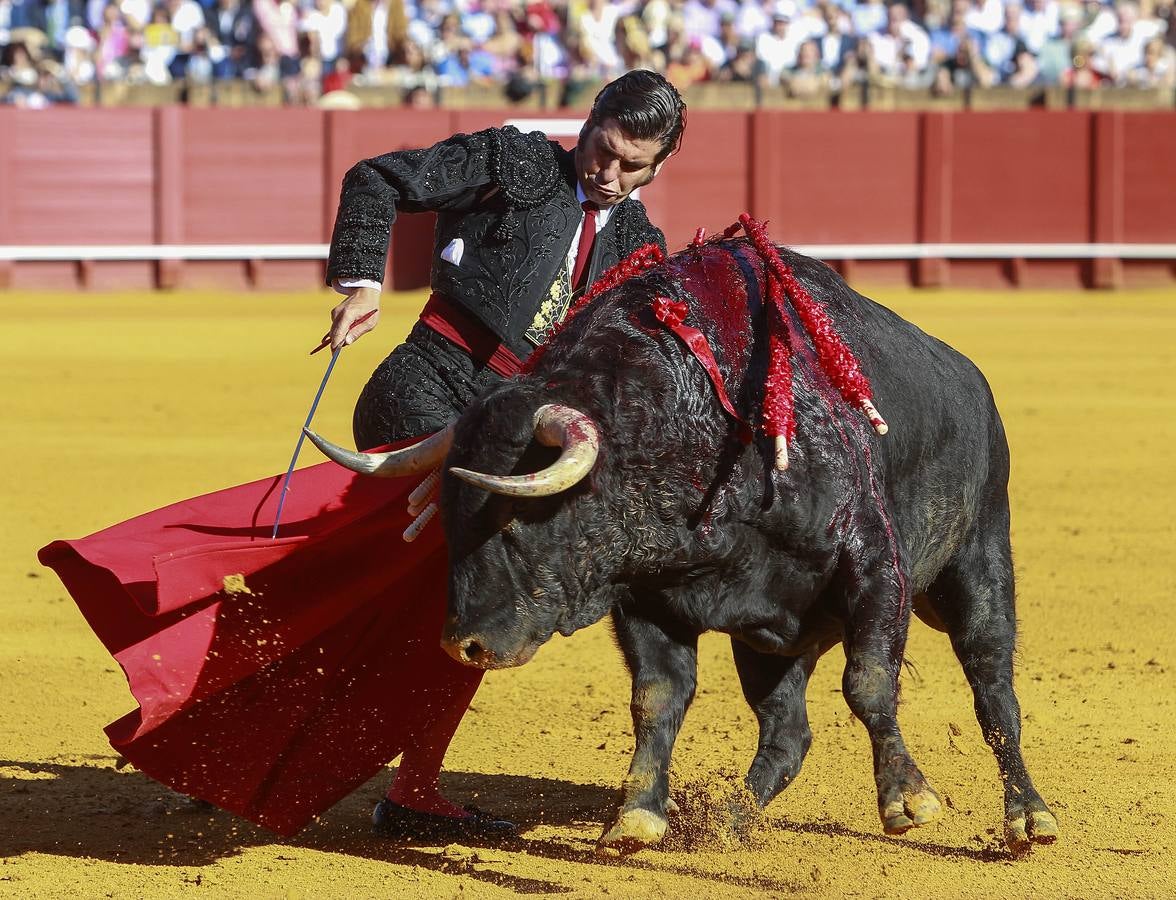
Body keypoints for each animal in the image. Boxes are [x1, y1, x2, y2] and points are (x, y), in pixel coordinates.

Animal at [308, 224, 1063, 856]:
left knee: (993, 686)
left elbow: (870, 681)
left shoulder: (873, 565)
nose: (462, 646)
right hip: (772, 641)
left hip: (980, 560)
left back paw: (1029, 817)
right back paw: (729, 820)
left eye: (517, 518)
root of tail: (972, 382)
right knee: (787, 731)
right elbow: (657, 697)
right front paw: (638, 815)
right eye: (450, 519)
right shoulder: (649, 598)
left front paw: (908, 799)